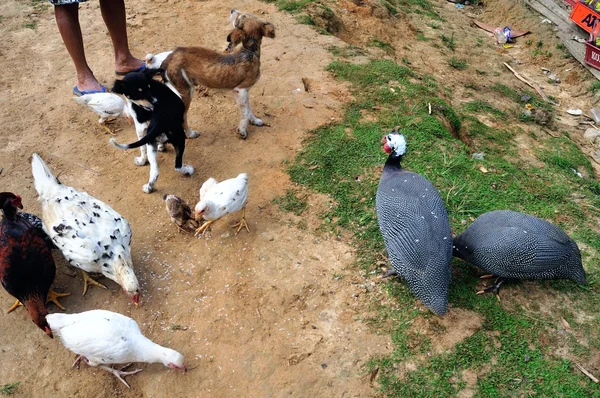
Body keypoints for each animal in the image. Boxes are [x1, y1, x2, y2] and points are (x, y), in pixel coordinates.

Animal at [164, 9, 276, 140]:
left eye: (240, 17)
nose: (232, 10)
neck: (250, 51)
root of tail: (171, 56)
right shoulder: (241, 90)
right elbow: (245, 112)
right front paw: (242, 130)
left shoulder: (241, 92)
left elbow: (248, 108)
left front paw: (255, 120)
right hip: (186, 92)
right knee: (182, 117)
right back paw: (191, 134)